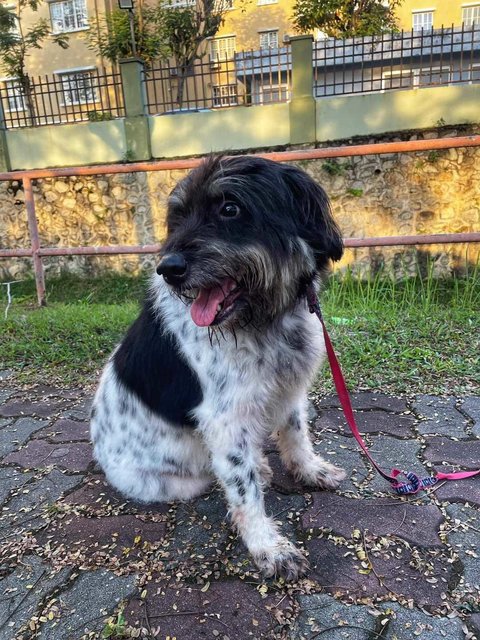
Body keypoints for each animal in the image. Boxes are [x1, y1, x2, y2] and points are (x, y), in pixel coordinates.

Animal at [90, 155, 344, 580]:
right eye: (178, 217)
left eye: (230, 209)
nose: (168, 268)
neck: (264, 319)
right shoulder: (224, 421)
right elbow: (245, 492)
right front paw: (268, 546)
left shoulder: (289, 388)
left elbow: (295, 434)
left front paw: (310, 470)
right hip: (177, 481)